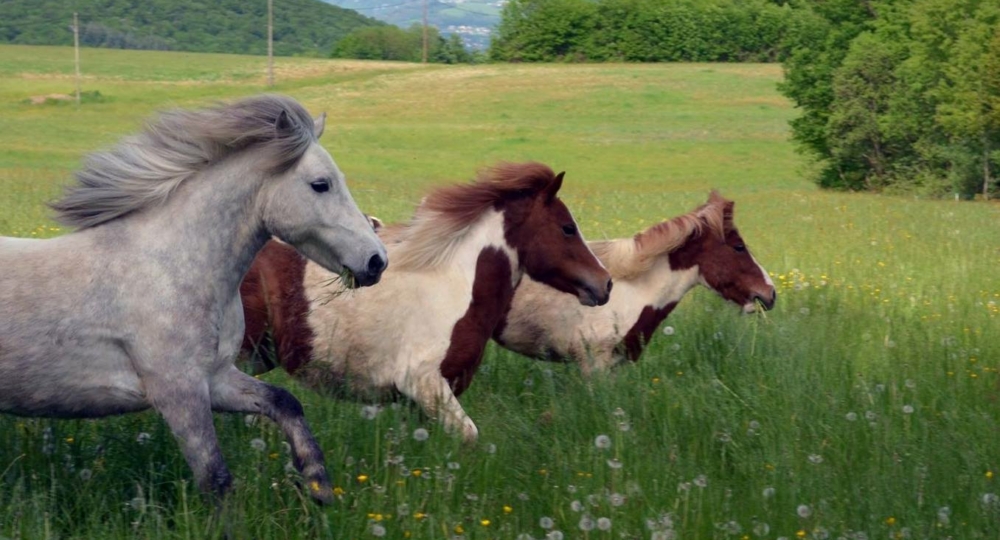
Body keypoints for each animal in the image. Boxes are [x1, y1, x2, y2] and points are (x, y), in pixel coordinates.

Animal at [0, 95, 386, 504]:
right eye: (320, 184)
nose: (377, 261)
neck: (175, 266)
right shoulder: (178, 391)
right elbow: (216, 478)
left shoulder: (216, 378)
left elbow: (285, 403)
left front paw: (319, 487)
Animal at [240, 162, 608, 440]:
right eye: (567, 228)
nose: (604, 284)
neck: (454, 289)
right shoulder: (425, 385)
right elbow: (469, 438)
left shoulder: (415, 402)